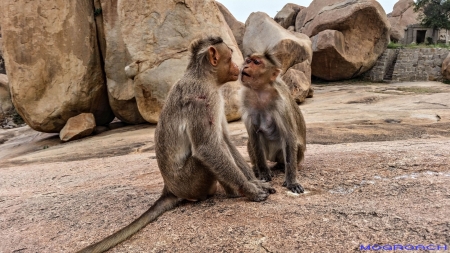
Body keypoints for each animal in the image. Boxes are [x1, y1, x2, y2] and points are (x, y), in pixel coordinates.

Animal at [77, 36, 274, 253]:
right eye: (230, 58)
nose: (237, 67)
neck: (203, 78)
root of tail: (169, 188)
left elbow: (225, 140)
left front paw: (255, 182)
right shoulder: (202, 99)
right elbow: (207, 147)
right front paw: (249, 189)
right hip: (189, 183)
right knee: (205, 156)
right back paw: (233, 194)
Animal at [241, 51, 308, 194]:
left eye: (256, 62)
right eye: (248, 61)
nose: (245, 66)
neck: (260, 90)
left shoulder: (281, 104)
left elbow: (289, 137)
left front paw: (291, 181)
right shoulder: (246, 101)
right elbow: (254, 135)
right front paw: (264, 173)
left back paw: (284, 167)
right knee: (252, 141)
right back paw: (257, 168)